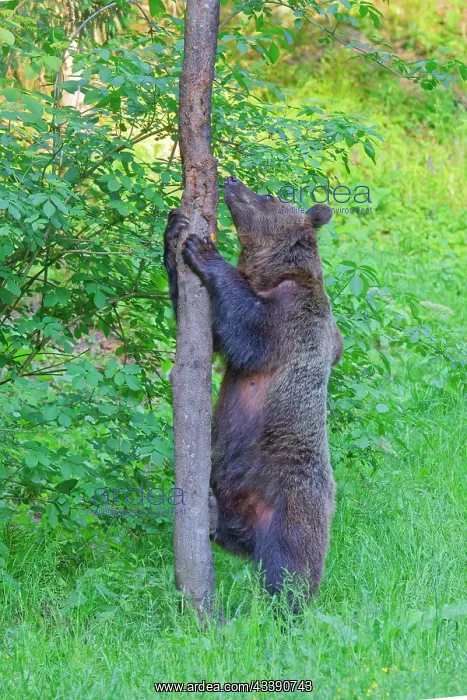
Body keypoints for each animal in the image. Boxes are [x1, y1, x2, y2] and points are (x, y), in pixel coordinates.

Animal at [164, 175, 343, 600]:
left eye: (271, 195)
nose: (232, 180)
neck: (271, 275)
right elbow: (210, 330)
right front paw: (175, 229)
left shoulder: (294, 317)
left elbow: (247, 330)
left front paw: (204, 250)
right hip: (234, 485)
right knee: (234, 533)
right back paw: (212, 515)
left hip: (292, 500)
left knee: (289, 566)